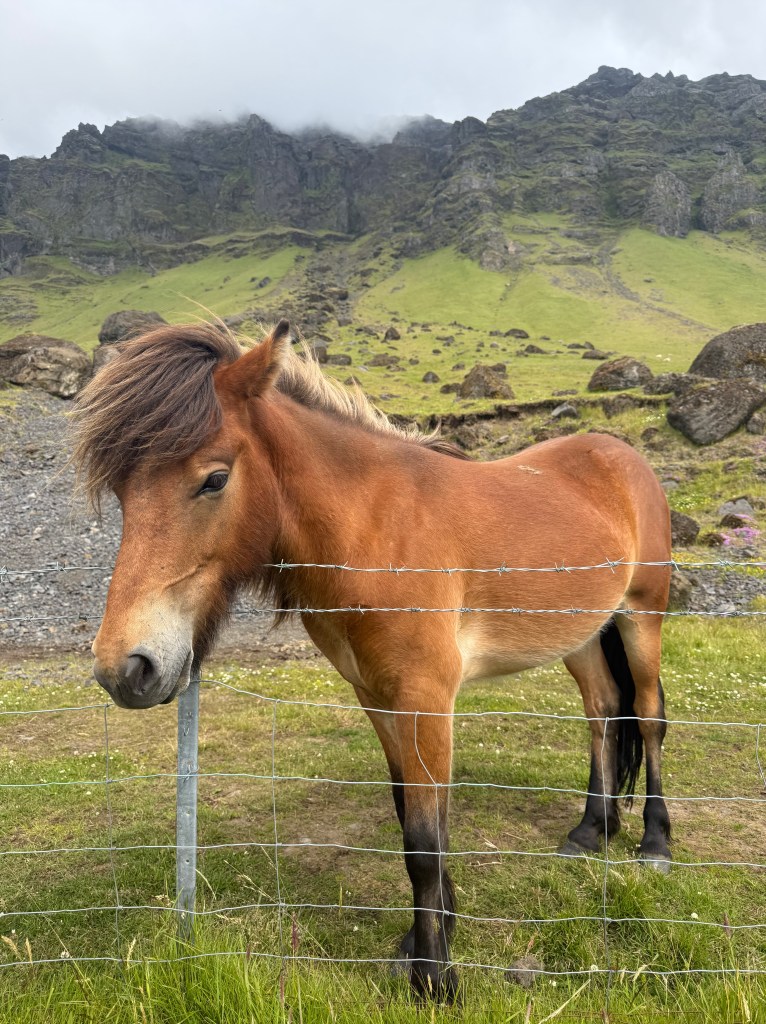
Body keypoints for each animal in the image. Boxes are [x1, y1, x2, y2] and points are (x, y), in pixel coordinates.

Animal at [71, 319, 672, 1001]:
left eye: (214, 479)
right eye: (121, 489)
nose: (126, 668)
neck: (376, 533)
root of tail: (620, 455)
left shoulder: (426, 700)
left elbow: (425, 840)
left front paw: (435, 977)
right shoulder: (377, 697)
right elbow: (409, 815)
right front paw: (424, 938)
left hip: (641, 617)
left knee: (648, 715)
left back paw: (654, 841)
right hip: (582, 637)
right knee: (602, 711)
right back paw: (592, 830)